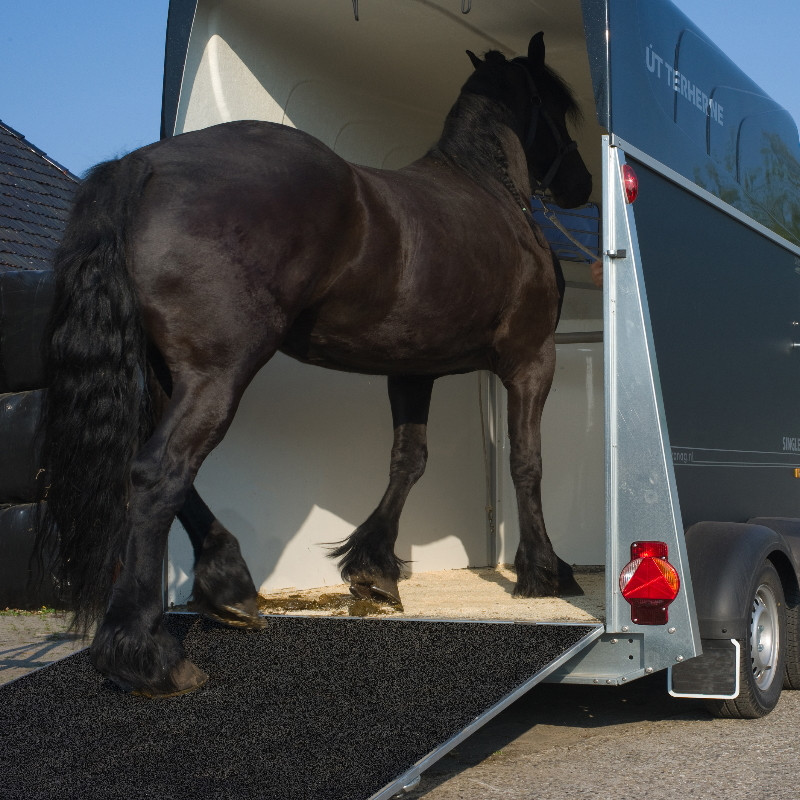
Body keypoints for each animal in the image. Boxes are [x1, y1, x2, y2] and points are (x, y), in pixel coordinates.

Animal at [39, 32, 592, 697]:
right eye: (556, 109)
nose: (583, 183)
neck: (492, 195)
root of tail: (145, 164)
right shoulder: (532, 360)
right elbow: (526, 462)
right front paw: (545, 570)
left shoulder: (413, 368)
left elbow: (408, 460)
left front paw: (374, 568)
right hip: (218, 373)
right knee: (159, 472)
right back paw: (146, 654)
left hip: (174, 376)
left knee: (162, 472)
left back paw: (228, 586)